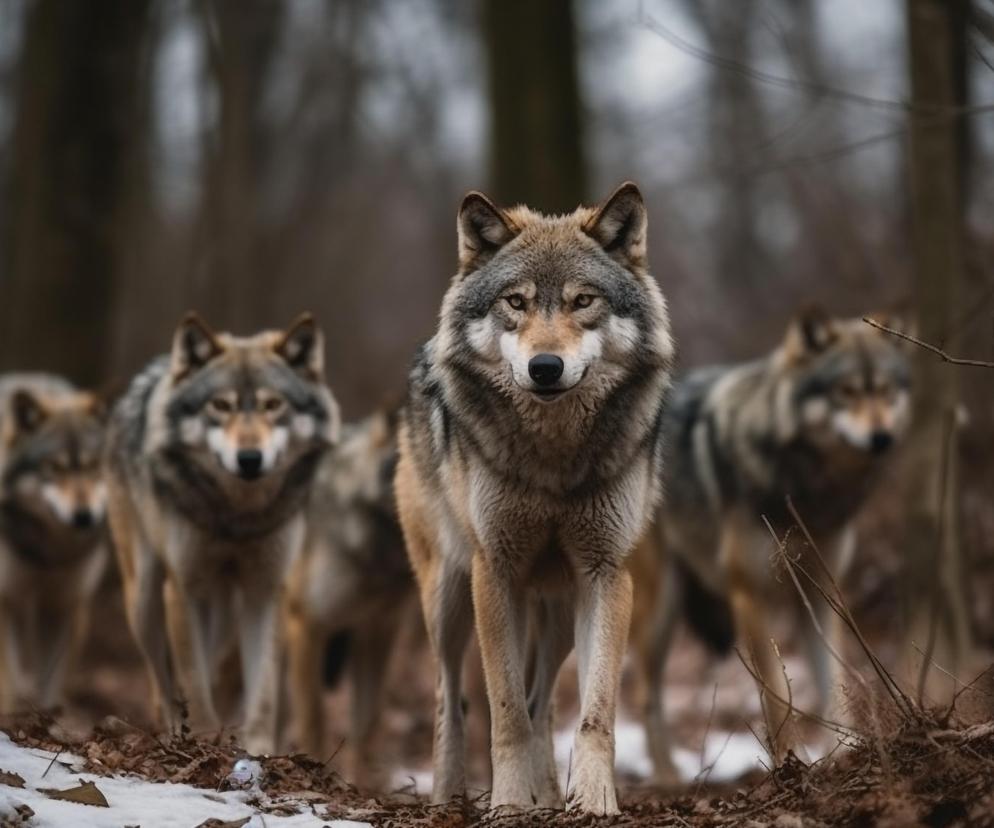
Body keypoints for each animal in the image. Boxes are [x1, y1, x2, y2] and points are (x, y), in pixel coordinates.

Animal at [0, 376, 108, 712]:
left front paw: (46, 718)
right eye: (53, 467)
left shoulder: (62, 606)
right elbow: (7, 680)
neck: (50, 553)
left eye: (94, 466)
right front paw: (12, 716)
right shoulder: (6, 599)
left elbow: (50, 680)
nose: (84, 516)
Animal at [104, 314, 338, 752]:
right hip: (144, 598)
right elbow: (193, 681)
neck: (238, 517)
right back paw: (171, 729)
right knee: (161, 681)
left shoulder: (266, 591)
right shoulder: (185, 589)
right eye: (221, 405)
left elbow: (263, 692)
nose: (249, 459)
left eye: (272, 405)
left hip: (226, 609)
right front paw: (202, 739)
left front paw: (259, 750)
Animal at [396, 183, 676, 816]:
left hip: (556, 609)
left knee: (543, 700)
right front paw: (508, 804)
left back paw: (550, 795)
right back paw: (449, 798)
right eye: (516, 302)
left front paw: (593, 800)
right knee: (452, 698)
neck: (554, 458)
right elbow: (504, 714)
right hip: (449, 596)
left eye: (583, 301)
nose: (545, 367)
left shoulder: (605, 573)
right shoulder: (495, 571)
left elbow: (593, 713)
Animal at [632, 310, 912, 784]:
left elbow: (832, 680)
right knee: (639, 689)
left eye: (886, 391)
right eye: (846, 392)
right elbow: (777, 694)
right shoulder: (749, 595)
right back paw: (667, 778)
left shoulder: (821, 594)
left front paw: (847, 755)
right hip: (659, 609)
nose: (881, 438)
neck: (805, 487)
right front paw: (790, 764)